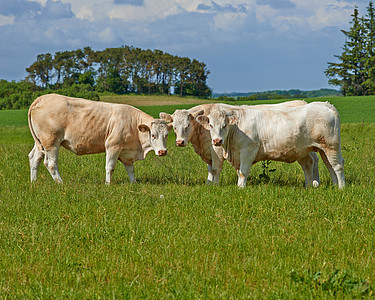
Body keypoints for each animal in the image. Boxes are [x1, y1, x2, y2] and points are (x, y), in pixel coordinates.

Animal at [27, 94, 172, 183]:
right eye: (153, 135)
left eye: (166, 135)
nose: (162, 152)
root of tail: (42, 98)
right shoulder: (113, 146)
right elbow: (110, 167)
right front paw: (108, 184)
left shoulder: (127, 152)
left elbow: (130, 169)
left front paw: (134, 183)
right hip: (51, 142)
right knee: (50, 164)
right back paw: (61, 183)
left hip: (40, 143)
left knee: (34, 158)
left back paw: (34, 182)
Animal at [161, 101, 320, 188]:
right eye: (174, 126)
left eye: (187, 125)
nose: (179, 142)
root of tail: (302, 102)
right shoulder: (209, 151)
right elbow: (210, 169)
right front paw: (208, 184)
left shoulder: (216, 151)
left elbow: (215, 169)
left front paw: (215, 185)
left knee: (313, 161)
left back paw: (315, 183)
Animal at [197, 102, 346, 189]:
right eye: (210, 125)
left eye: (224, 125)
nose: (217, 141)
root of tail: (325, 105)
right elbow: (239, 172)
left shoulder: (248, 150)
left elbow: (243, 172)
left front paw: (240, 188)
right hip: (319, 149)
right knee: (327, 165)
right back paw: (330, 186)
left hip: (331, 146)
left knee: (337, 165)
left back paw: (341, 188)